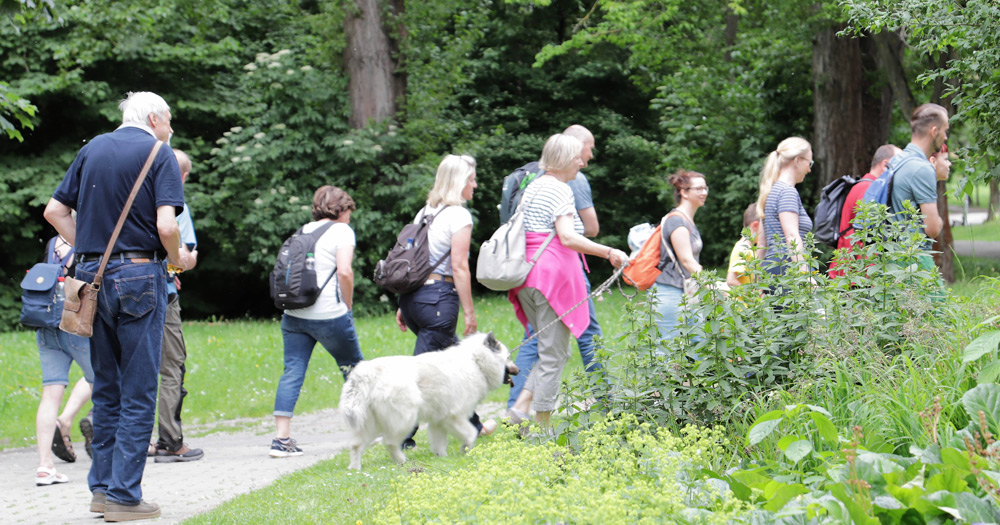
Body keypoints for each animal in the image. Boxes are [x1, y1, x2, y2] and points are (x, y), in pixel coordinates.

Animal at [340, 330, 520, 468]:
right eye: (508, 357)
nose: (518, 370)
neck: (476, 361)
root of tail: (365, 373)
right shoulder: (454, 416)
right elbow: (471, 433)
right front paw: (465, 448)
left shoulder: (438, 421)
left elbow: (439, 442)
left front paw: (442, 458)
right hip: (405, 419)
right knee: (390, 442)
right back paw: (401, 460)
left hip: (369, 424)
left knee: (356, 445)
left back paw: (355, 469)